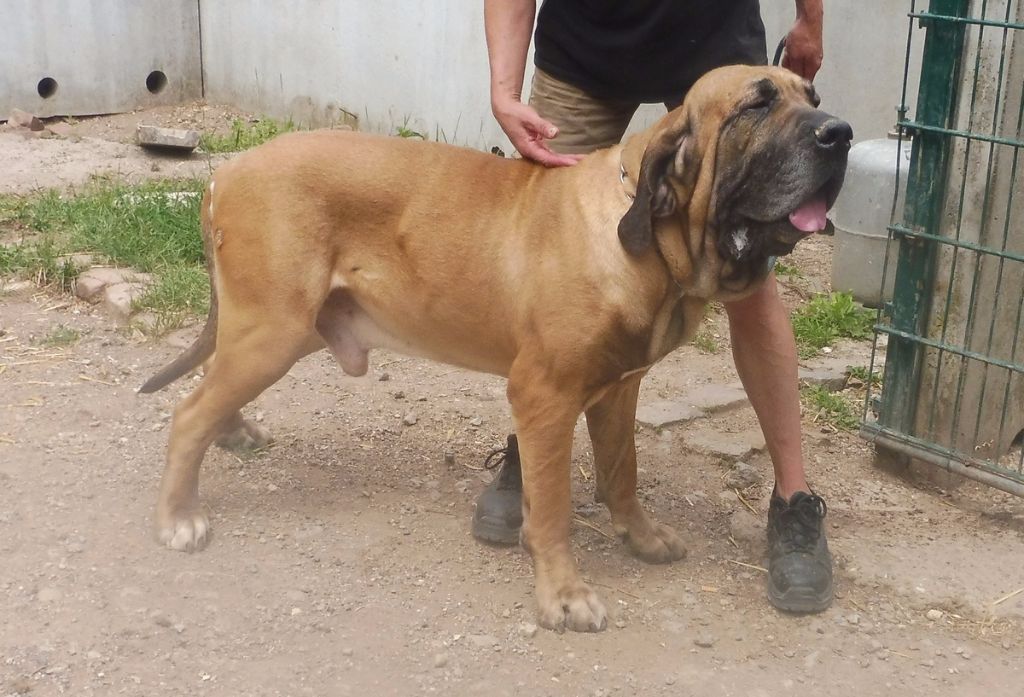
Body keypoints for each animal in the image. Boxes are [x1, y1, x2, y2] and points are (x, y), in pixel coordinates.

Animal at [140, 65, 850, 633]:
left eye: (812, 95)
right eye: (755, 106)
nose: (840, 133)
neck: (644, 234)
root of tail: (226, 171)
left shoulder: (619, 391)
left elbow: (622, 473)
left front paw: (641, 537)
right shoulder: (546, 395)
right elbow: (554, 505)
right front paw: (564, 595)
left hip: (276, 330)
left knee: (211, 383)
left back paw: (232, 433)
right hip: (274, 329)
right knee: (187, 413)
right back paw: (178, 517)